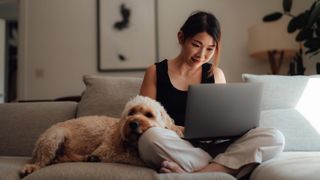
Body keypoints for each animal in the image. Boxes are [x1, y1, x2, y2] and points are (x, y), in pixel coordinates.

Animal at [19, 95, 182, 177]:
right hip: (55, 137)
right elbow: (136, 158)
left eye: (149, 115)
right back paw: (31, 168)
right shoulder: (109, 151)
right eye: (131, 113)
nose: (133, 124)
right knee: (42, 162)